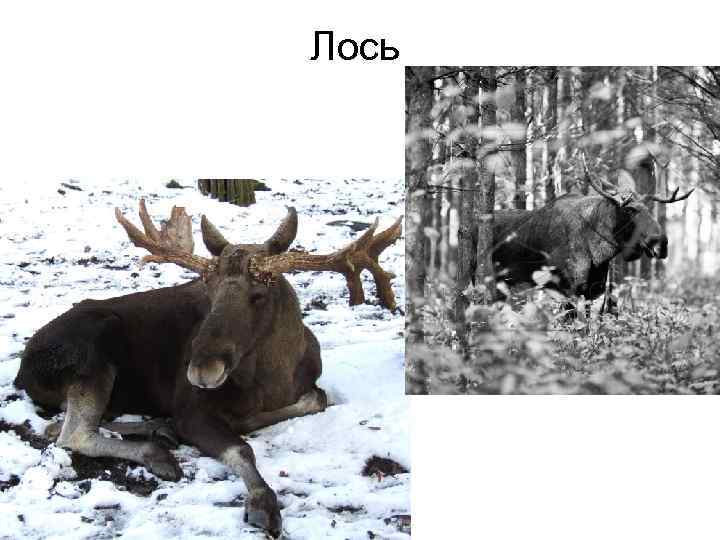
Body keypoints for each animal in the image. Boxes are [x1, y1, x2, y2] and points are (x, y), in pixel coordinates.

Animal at [14, 199, 402, 538]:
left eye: (258, 295)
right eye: (208, 290)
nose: (201, 369)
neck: (275, 379)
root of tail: (21, 370)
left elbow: (316, 398)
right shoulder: (190, 407)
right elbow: (241, 449)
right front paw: (262, 503)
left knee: (63, 425)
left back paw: (159, 429)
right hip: (95, 347)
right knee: (72, 432)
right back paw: (157, 449)